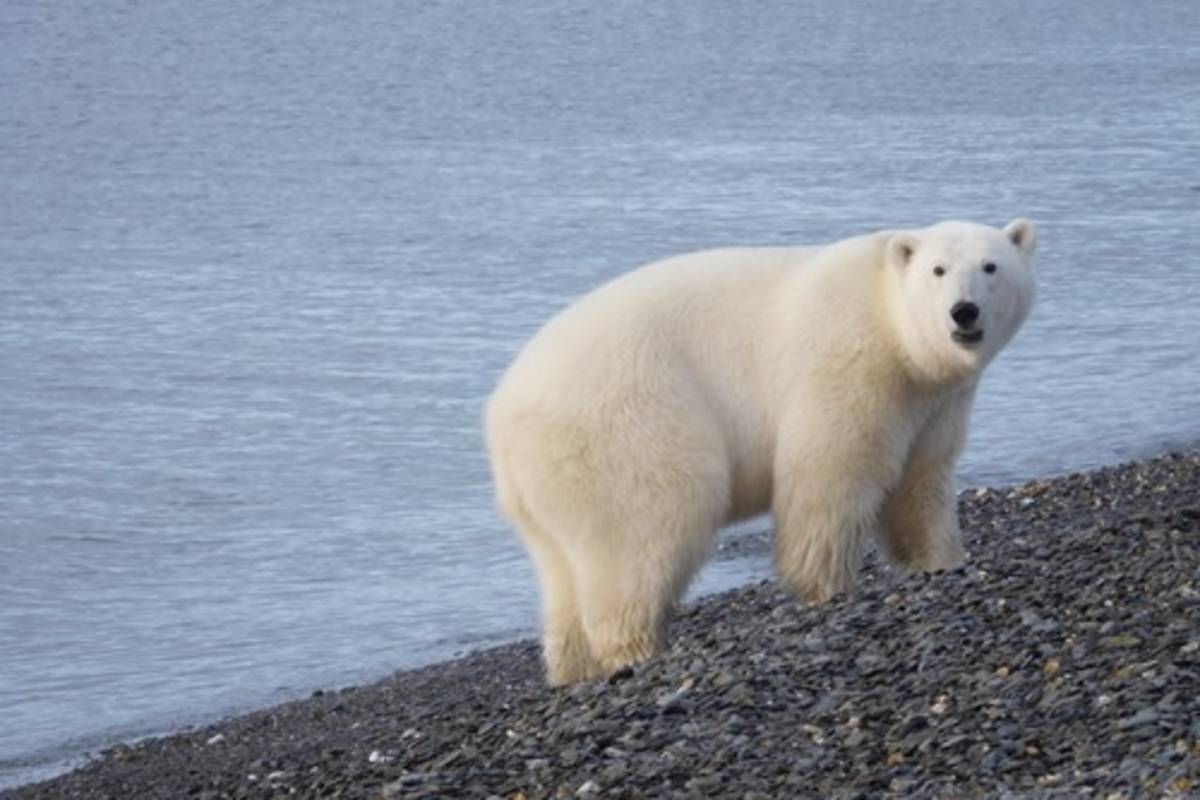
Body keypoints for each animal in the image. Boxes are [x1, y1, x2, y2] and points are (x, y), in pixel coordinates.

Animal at [486, 219, 1037, 685]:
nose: (963, 311)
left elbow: (921, 481)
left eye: (990, 266)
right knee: (650, 523)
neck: (896, 332)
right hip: (626, 424)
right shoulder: (849, 366)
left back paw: (574, 667)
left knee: (563, 570)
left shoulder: (934, 403)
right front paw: (826, 586)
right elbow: (830, 473)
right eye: (937, 270)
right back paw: (636, 649)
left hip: (546, 485)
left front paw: (940, 561)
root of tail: (500, 414)